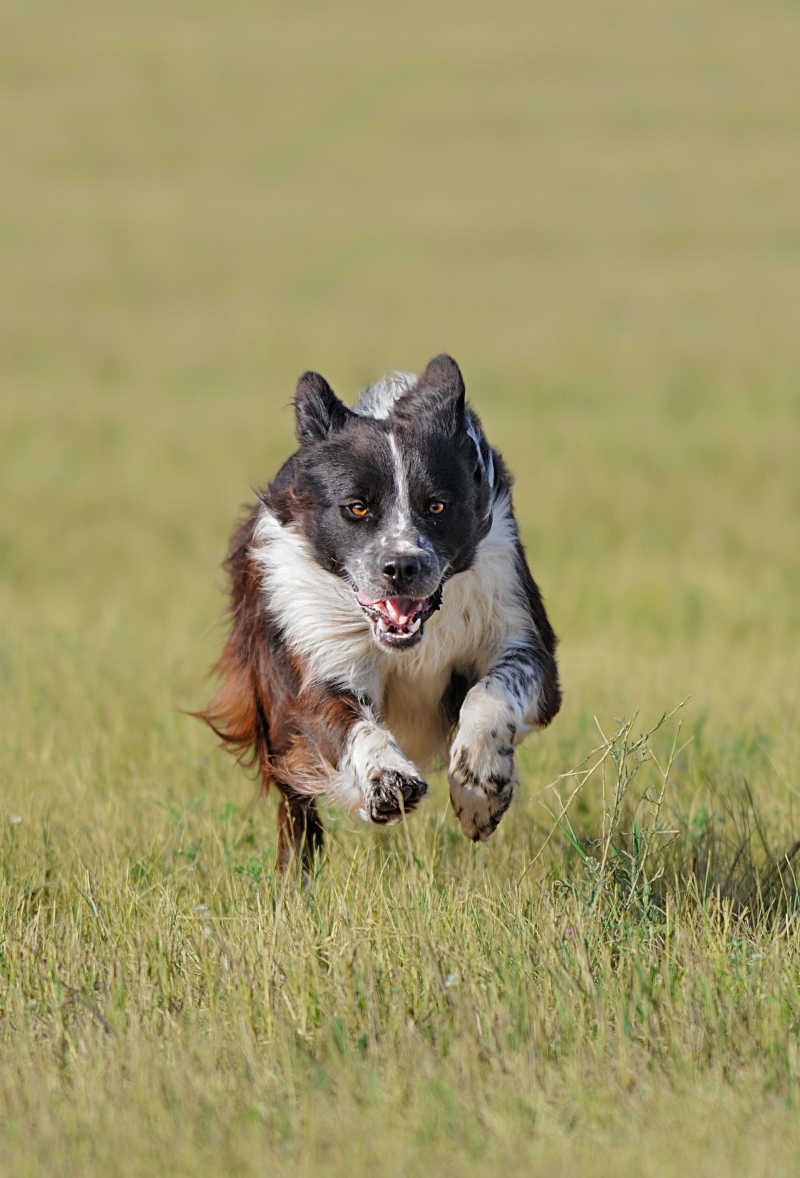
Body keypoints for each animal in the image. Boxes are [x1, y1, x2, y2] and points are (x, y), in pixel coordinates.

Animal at [199, 353, 563, 871]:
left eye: (437, 506)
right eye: (356, 508)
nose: (402, 566)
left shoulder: (518, 625)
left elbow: (492, 692)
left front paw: (478, 789)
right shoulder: (313, 643)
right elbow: (343, 719)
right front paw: (388, 782)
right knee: (294, 793)